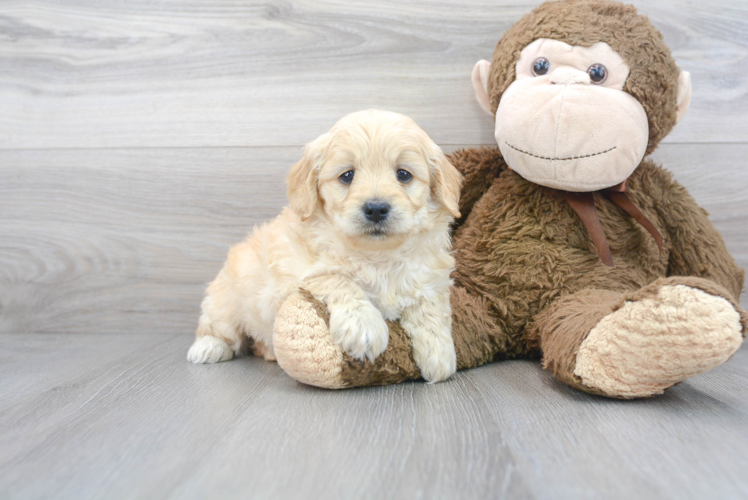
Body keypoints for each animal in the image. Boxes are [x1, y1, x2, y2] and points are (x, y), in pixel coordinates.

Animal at [187, 109, 462, 382]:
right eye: (347, 176)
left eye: (403, 174)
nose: (376, 208)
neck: (377, 257)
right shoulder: (296, 273)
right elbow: (337, 279)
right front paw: (364, 327)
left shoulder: (430, 274)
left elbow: (429, 304)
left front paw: (439, 352)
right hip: (226, 303)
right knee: (218, 329)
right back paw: (208, 347)